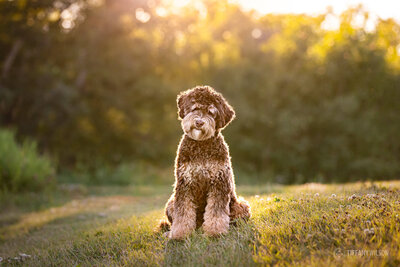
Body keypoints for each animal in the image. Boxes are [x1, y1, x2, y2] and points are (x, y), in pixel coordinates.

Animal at [159, 86, 250, 241]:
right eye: (195, 108)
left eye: (211, 112)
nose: (199, 122)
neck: (201, 144)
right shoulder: (185, 183)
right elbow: (183, 212)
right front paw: (179, 234)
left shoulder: (219, 183)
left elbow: (216, 212)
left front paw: (215, 232)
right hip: (171, 202)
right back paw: (169, 232)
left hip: (241, 205)